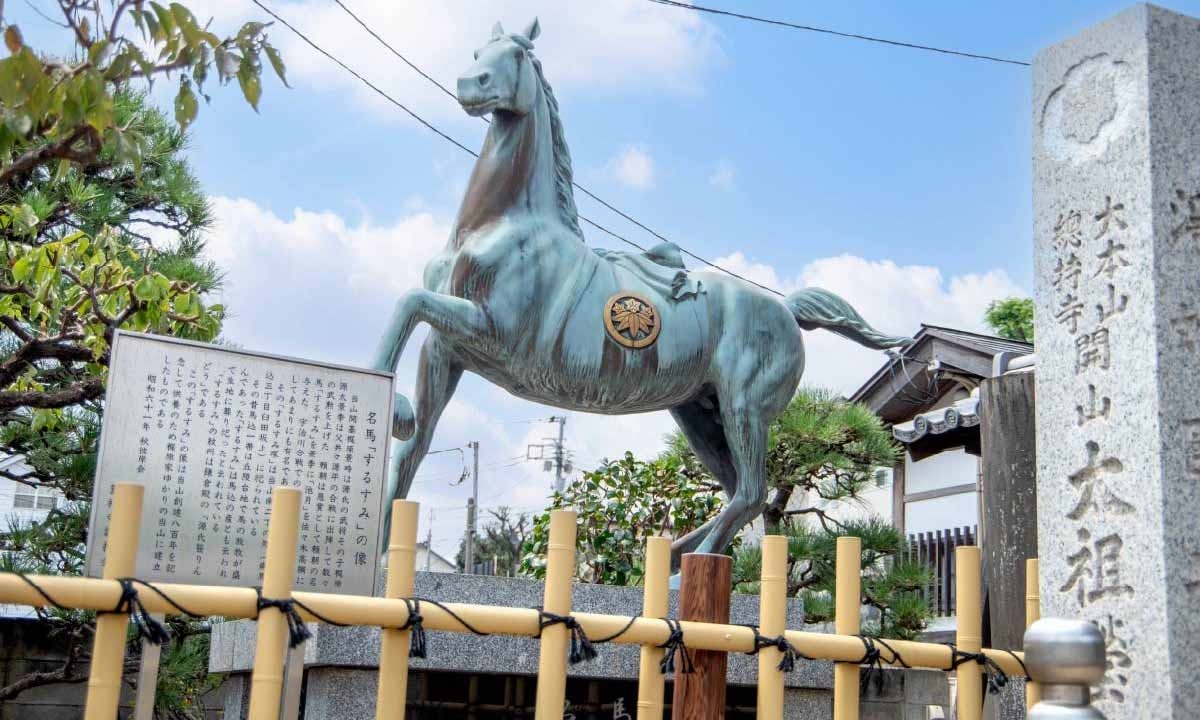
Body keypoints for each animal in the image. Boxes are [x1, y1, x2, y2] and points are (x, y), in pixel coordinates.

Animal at [369, 18, 902, 561]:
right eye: (477, 51)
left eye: (515, 55)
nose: (468, 85)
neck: (496, 227)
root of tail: (787, 310)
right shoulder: (447, 349)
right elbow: (413, 448)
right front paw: (380, 533)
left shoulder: (496, 332)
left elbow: (408, 303)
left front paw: (396, 408)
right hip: (699, 411)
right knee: (737, 490)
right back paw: (673, 553)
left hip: (746, 406)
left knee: (752, 492)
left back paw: (688, 562)